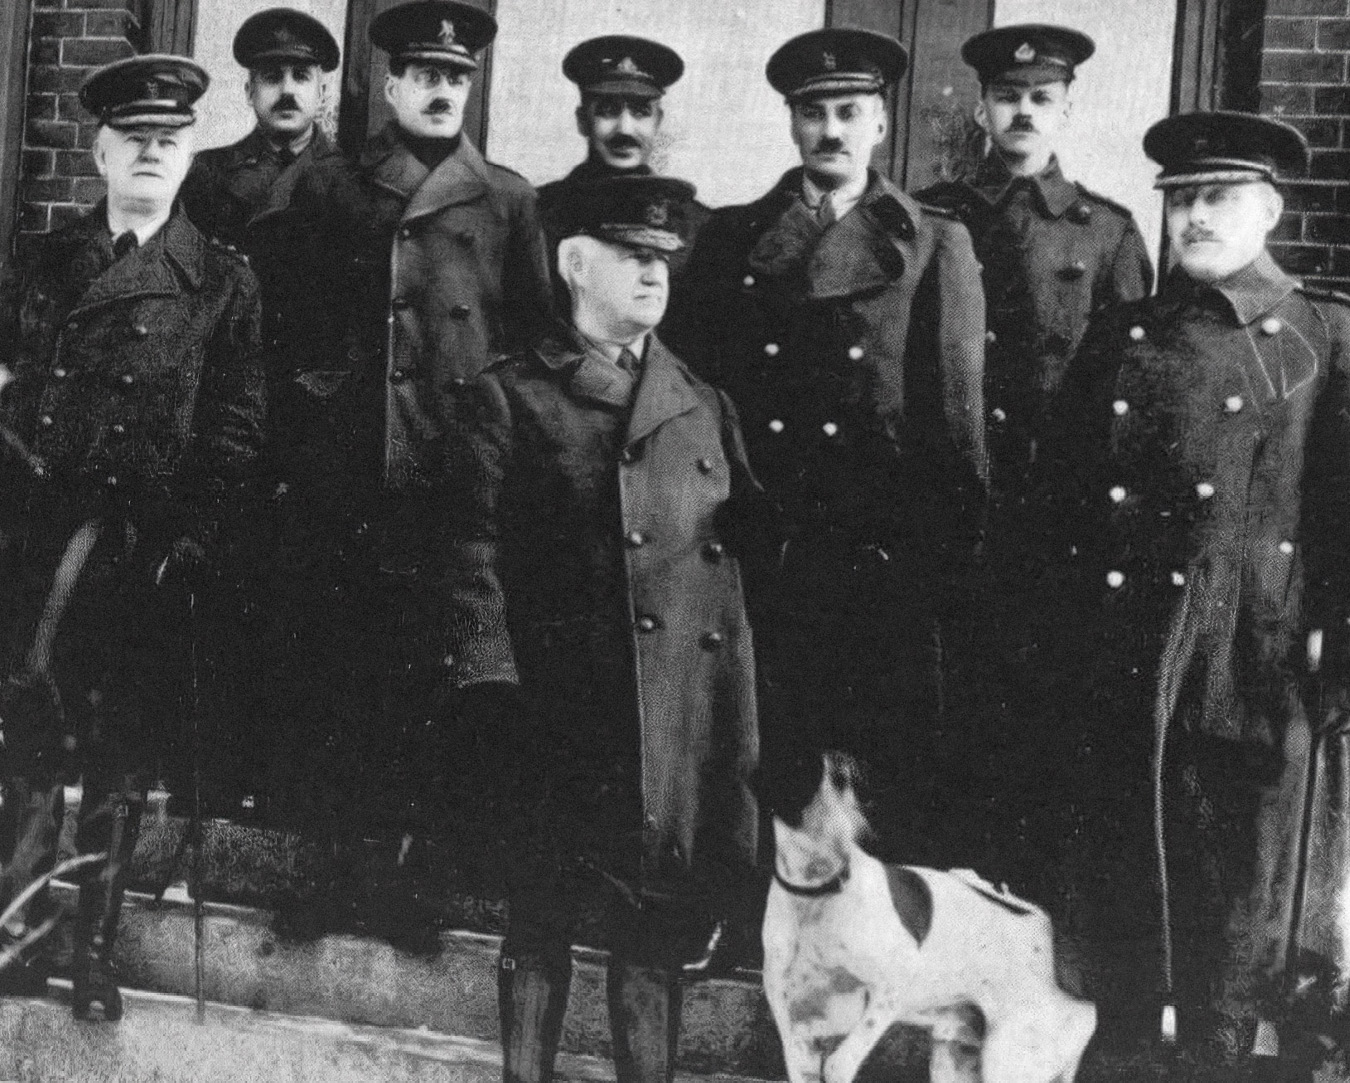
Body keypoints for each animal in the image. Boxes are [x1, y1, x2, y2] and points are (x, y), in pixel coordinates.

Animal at [761, 750, 1096, 1080]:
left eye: (855, 782)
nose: (863, 831)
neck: (814, 895)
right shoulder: (797, 1038)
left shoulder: (891, 989)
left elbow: (839, 1063)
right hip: (955, 1060)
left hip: (1012, 1060)